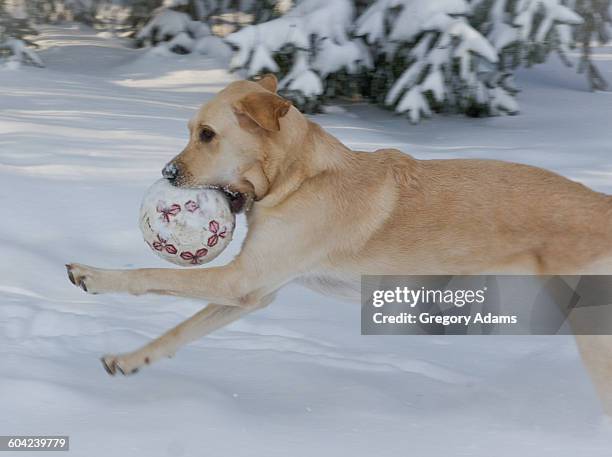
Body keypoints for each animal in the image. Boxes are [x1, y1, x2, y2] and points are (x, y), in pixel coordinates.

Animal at [67, 75, 612, 410]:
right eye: (191, 131)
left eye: (206, 135)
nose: (167, 174)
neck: (296, 178)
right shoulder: (254, 292)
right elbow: (179, 332)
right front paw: (131, 360)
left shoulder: (239, 279)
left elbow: (150, 274)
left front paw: (93, 276)